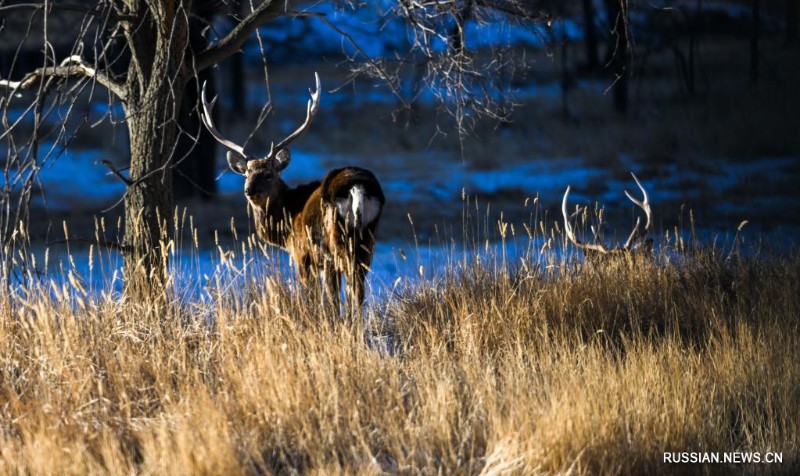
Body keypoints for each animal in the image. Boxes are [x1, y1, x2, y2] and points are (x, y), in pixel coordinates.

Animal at [202, 72, 386, 314]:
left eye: (269, 174)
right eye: (247, 173)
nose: (248, 190)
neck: (288, 221)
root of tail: (357, 187)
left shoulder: (303, 254)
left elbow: (314, 297)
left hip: (337, 244)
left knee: (348, 293)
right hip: (367, 242)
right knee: (359, 291)